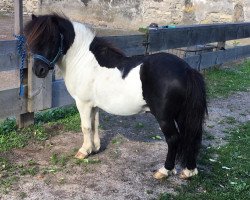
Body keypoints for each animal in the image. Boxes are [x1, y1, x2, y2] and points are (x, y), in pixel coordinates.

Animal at [23, 14, 207, 180]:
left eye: (52, 38)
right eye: (32, 39)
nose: (38, 70)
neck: (83, 60)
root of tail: (186, 70)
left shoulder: (83, 103)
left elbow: (85, 127)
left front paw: (84, 151)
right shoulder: (94, 104)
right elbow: (95, 124)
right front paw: (95, 148)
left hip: (165, 118)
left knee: (174, 139)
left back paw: (164, 170)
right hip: (183, 115)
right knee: (192, 137)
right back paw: (189, 171)